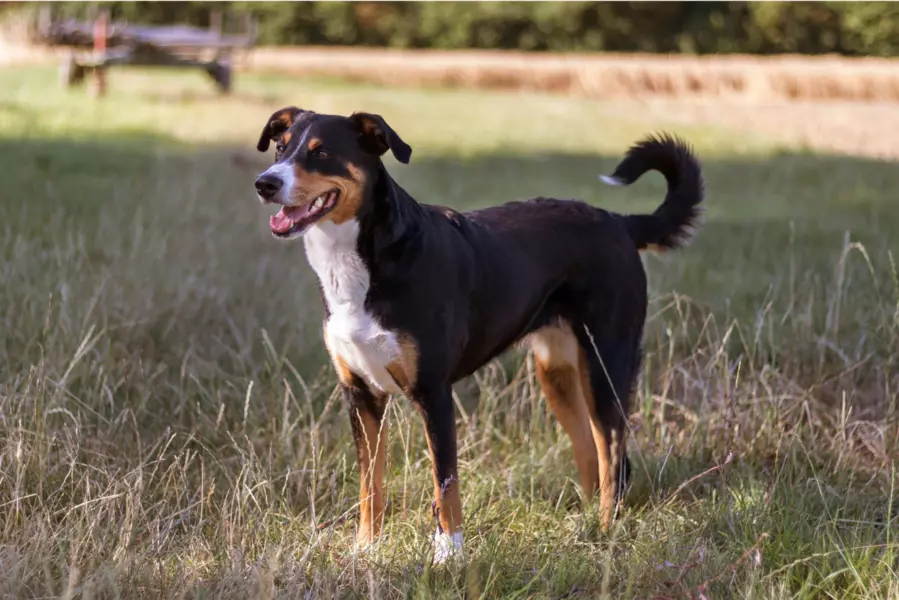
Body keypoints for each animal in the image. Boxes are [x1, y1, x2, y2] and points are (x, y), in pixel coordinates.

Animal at [251, 105, 704, 560]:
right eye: (280, 148)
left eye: (322, 152)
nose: (265, 183)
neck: (362, 262)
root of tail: (618, 223)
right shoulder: (361, 394)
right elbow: (370, 485)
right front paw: (367, 550)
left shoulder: (434, 393)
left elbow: (445, 484)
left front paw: (449, 556)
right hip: (557, 374)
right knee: (591, 451)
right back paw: (585, 526)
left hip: (605, 366)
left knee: (613, 455)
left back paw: (606, 530)